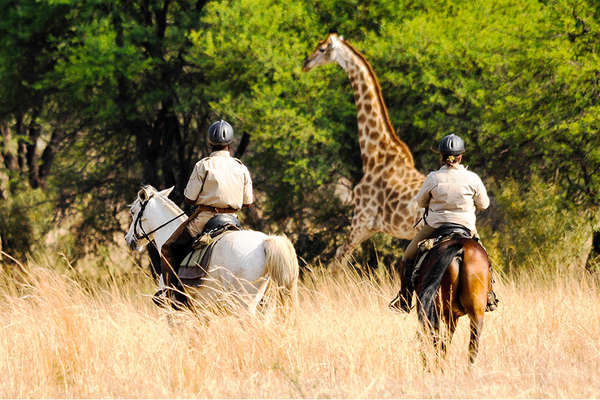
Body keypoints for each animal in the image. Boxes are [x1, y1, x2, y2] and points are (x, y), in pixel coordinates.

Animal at [302, 32, 424, 264]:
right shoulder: (370, 227)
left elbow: (337, 260)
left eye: (321, 49)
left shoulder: (361, 220)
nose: (306, 64)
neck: (373, 155)